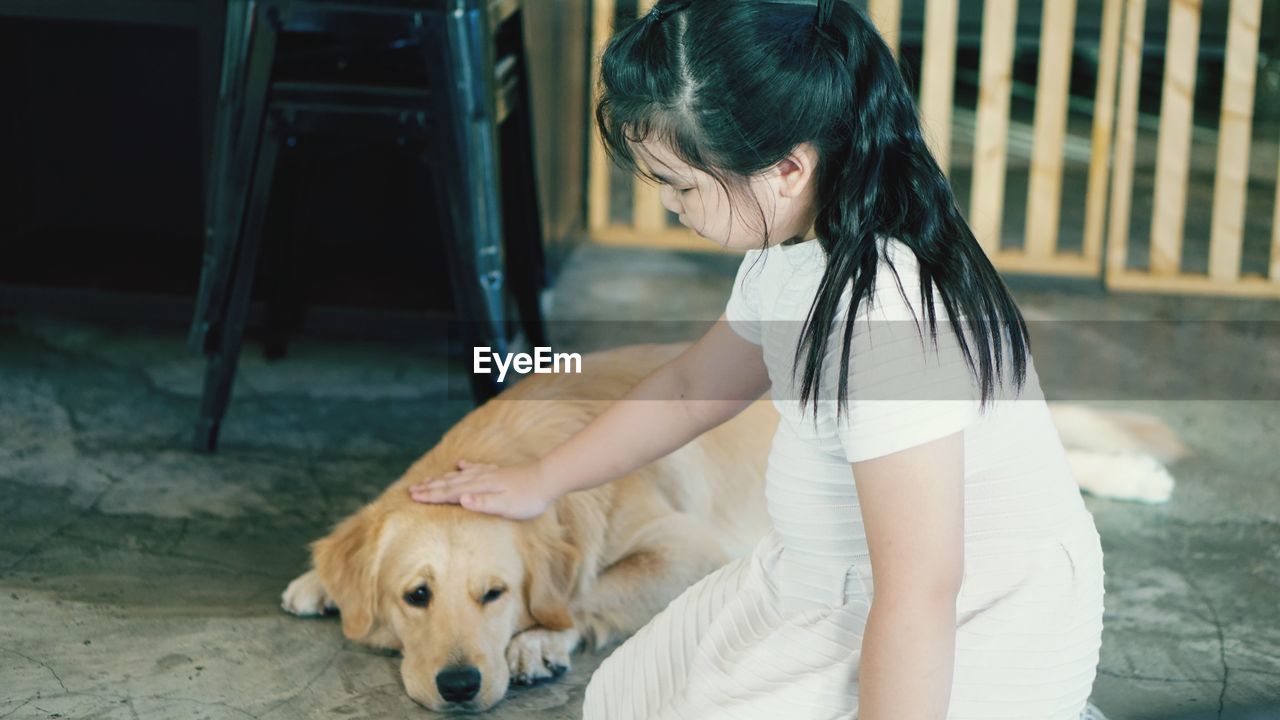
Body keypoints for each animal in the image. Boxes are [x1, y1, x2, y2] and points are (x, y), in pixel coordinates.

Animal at [282, 343, 1187, 712]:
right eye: (416, 596)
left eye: (494, 595)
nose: (461, 685)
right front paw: (319, 582)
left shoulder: (690, 549)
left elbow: (596, 589)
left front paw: (540, 641)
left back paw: (1141, 477)